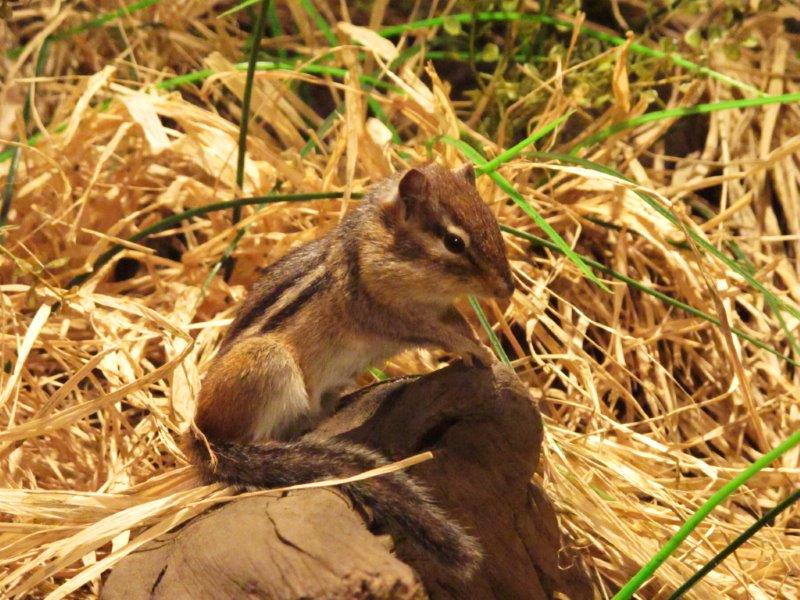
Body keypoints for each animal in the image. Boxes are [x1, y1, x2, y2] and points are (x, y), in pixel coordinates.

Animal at [185, 162, 514, 579]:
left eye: (493, 221)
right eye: (455, 242)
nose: (508, 289)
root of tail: (199, 434)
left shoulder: (439, 309)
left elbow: (457, 322)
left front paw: (480, 345)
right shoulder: (388, 316)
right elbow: (439, 333)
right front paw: (477, 350)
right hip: (267, 362)